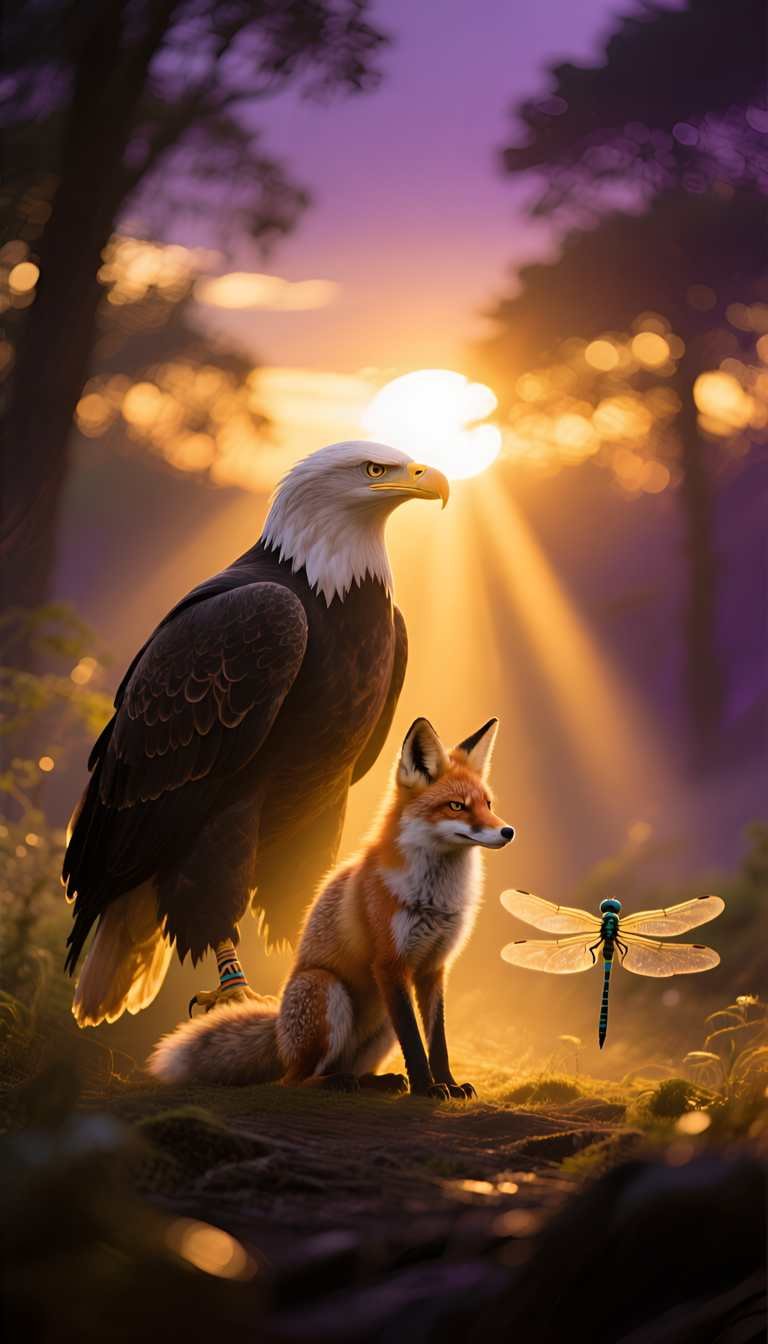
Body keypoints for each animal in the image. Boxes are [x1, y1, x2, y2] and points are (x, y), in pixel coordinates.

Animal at [148, 716, 514, 1099]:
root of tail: (279, 1033)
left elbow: (436, 1039)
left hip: (380, 1024)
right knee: (294, 1080)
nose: (508, 831)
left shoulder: (433, 967)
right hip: (325, 987)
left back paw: (374, 1081)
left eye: (488, 804)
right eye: (457, 806)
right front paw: (427, 1088)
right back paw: (334, 1082)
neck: (434, 897)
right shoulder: (389, 964)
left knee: (348, 1067)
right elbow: (415, 1042)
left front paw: (449, 1084)